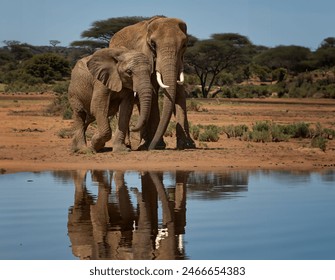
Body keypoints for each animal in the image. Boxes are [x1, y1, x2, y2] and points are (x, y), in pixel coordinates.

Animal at [109, 15, 197, 151]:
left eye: (184, 45)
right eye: (153, 44)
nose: (152, 147)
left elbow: (179, 92)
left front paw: (187, 145)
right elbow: (153, 93)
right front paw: (158, 145)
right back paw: (134, 144)